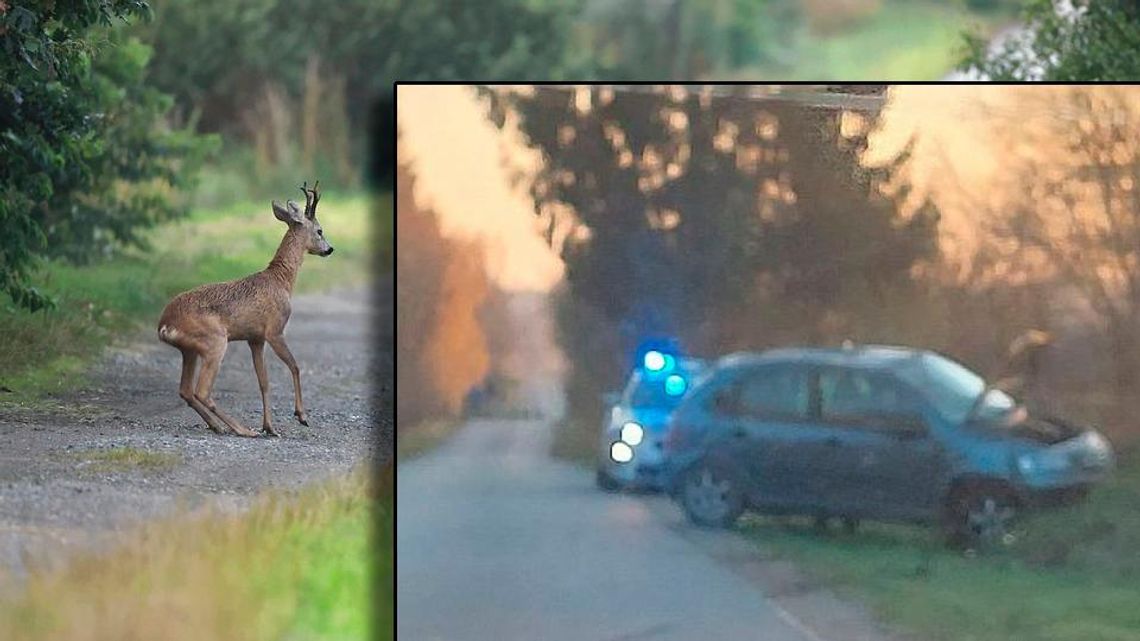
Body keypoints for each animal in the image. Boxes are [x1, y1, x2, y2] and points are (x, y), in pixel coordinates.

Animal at [157, 182, 332, 435]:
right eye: (319, 230)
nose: (330, 249)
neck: (281, 281)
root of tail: (164, 324)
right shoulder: (274, 330)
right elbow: (295, 366)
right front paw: (301, 416)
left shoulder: (255, 338)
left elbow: (264, 381)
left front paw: (269, 427)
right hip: (215, 341)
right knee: (202, 391)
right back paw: (240, 429)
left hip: (189, 350)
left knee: (186, 391)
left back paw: (217, 426)